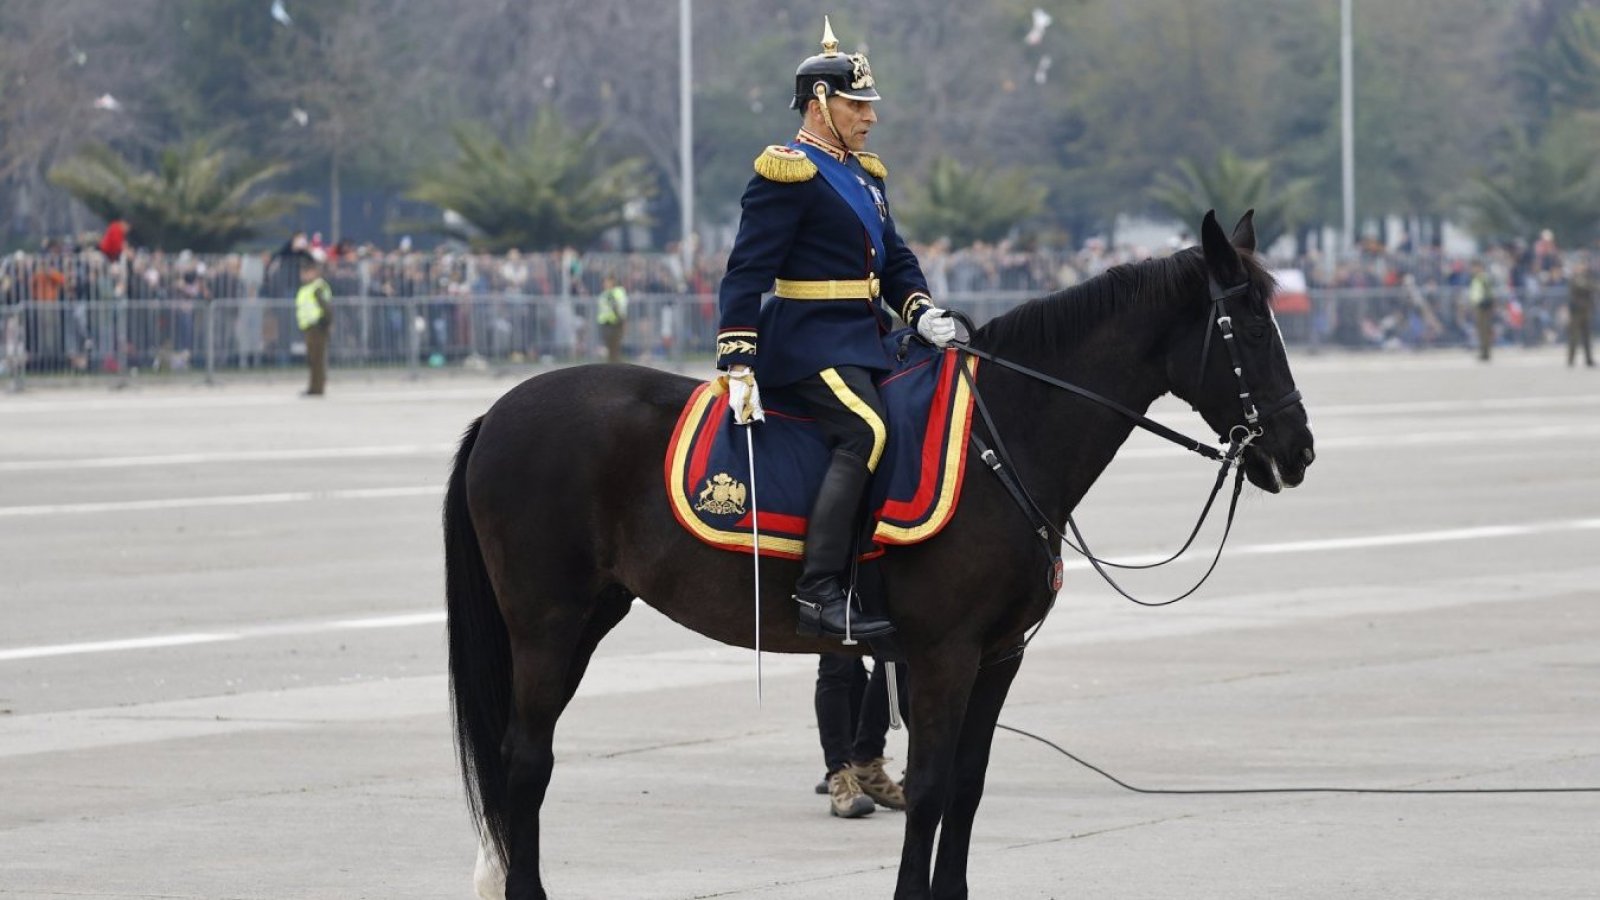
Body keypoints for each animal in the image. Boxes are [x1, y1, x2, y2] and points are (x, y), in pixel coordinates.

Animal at [448, 208, 1312, 890]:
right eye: (1247, 327)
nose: (1297, 450)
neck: (1004, 438)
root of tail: (499, 412)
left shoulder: (999, 655)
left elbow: (966, 785)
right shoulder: (944, 654)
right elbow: (928, 789)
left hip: (588, 617)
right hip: (546, 626)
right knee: (525, 760)